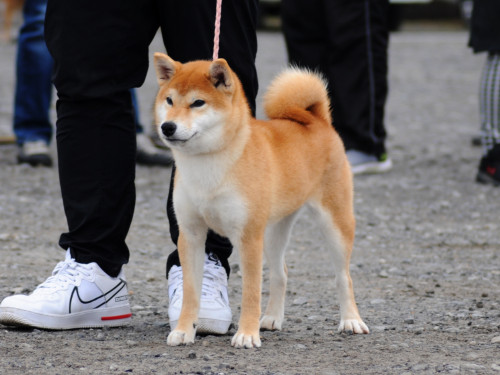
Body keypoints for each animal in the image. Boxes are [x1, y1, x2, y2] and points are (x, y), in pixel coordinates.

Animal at [154, 53, 370, 350]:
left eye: (198, 103)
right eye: (169, 100)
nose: (168, 127)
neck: (209, 164)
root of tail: (317, 120)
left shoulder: (247, 237)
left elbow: (250, 292)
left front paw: (246, 334)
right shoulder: (191, 234)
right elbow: (191, 292)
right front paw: (184, 330)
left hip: (334, 224)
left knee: (343, 277)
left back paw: (351, 320)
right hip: (272, 232)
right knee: (281, 273)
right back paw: (271, 318)